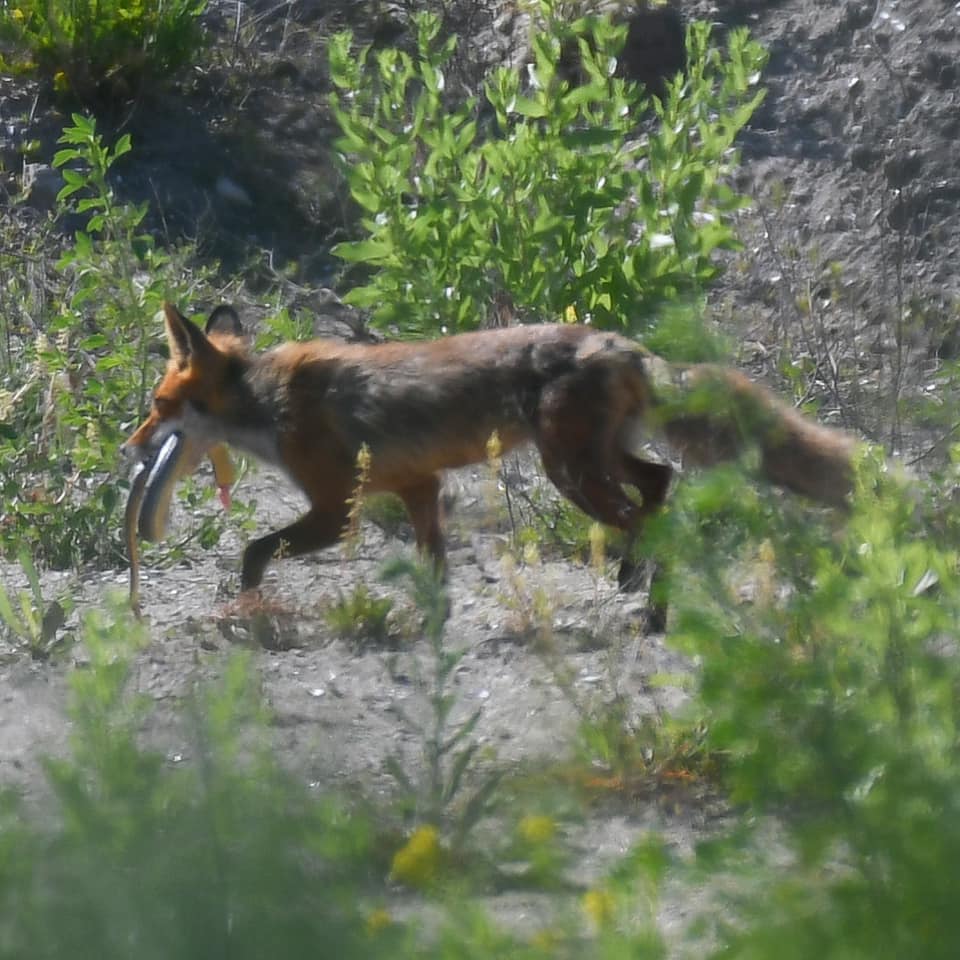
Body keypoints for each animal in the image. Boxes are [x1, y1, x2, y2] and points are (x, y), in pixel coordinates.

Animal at [122, 300, 856, 600]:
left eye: (157, 405)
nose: (130, 449)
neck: (270, 404)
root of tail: (625, 344)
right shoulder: (419, 487)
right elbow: (434, 569)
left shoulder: (338, 509)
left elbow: (253, 553)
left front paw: (246, 612)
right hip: (599, 458)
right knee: (660, 482)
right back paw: (634, 577)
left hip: (571, 472)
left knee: (645, 512)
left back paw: (648, 594)